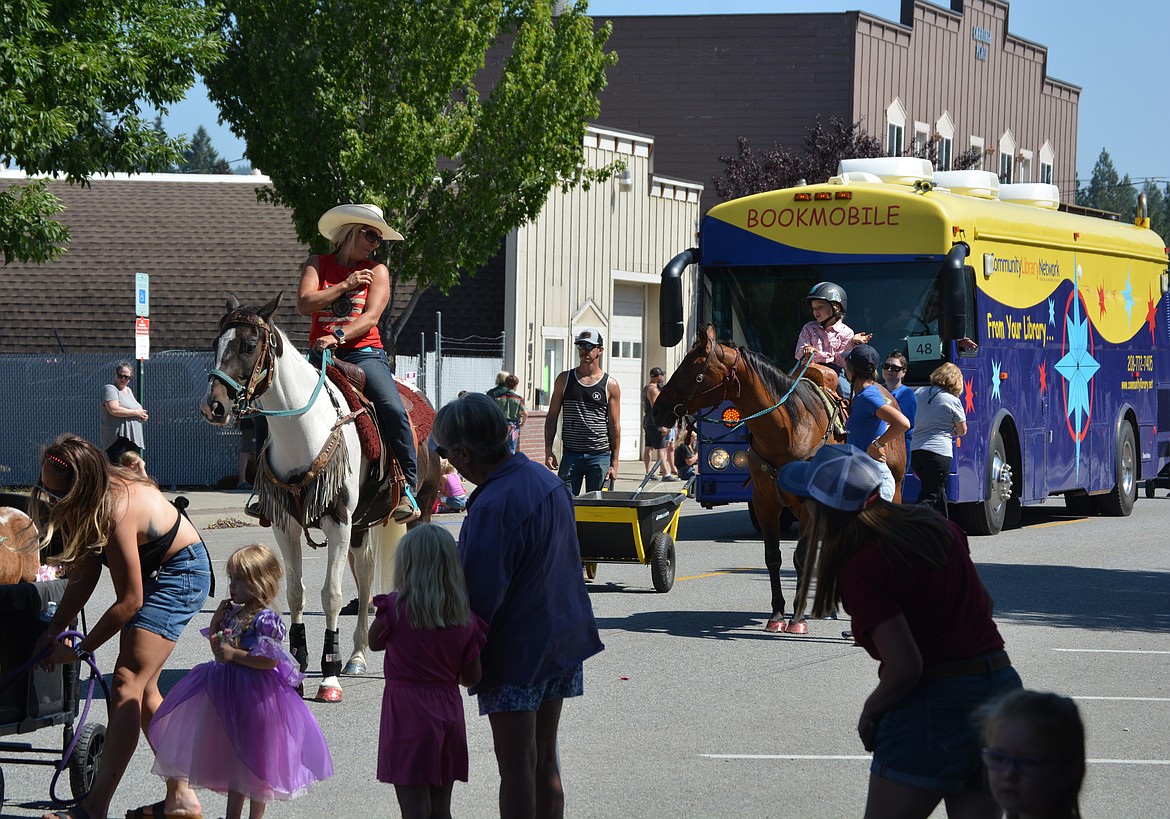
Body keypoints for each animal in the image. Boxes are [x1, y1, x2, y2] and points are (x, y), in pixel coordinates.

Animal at [655, 325, 907, 631]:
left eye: (690, 369)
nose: (657, 409)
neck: (786, 428)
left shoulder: (807, 505)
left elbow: (801, 557)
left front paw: (797, 618)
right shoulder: (765, 502)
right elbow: (773, 557)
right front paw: (776, 614)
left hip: (894, 488)